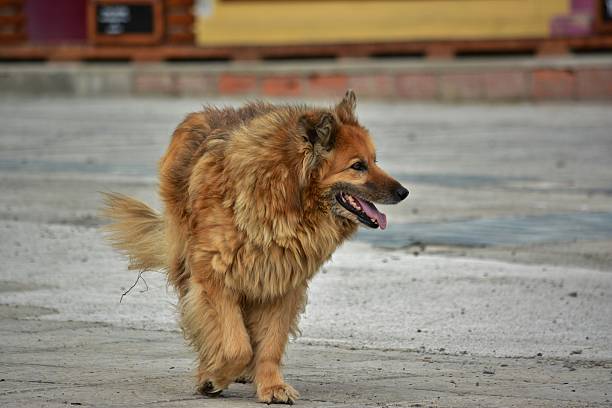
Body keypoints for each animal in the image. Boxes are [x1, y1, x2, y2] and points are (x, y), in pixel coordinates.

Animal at [101, 91, 406, 404]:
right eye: (358, 166)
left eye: (375, 160)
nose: (404, 192)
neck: (285, 196)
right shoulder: (215, 277)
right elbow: (236, 345)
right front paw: (214, 376)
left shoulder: (282, 282)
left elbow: (270, 344)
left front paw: (271, 385)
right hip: (187, 263)